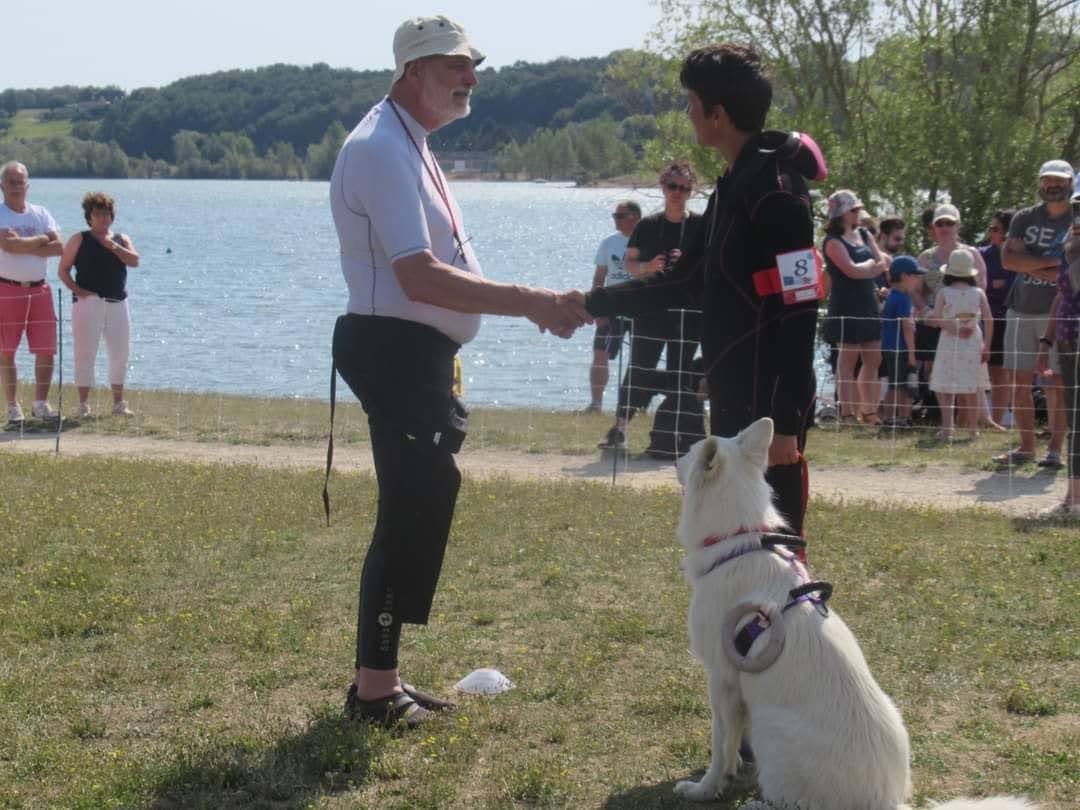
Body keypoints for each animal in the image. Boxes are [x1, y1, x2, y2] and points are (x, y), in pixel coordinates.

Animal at [673, 419, 1036, 810]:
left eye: (689, 452)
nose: (674, 458)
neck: (737, 541)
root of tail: (887, 802)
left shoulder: (721, 679)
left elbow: (720, 745)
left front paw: (705, 788)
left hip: (770, 726)